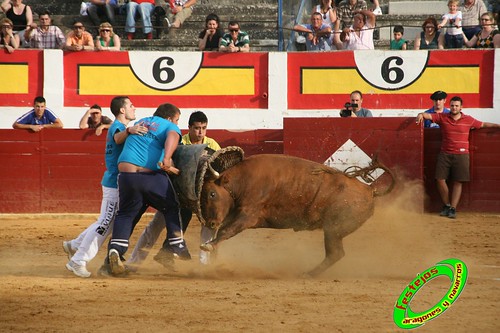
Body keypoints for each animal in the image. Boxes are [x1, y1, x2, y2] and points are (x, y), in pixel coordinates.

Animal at [199, 153, 394, 274]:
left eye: (212, 194)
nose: (210, 223)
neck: (242, 181)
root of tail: (370, 190)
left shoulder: (248, 215)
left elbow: (226, 231)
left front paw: (208, 246)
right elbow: (224, 230)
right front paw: (214, 255)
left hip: (333, 230)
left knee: (335, 254)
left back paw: (308, 274)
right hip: (335, 231)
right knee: (335, 254)